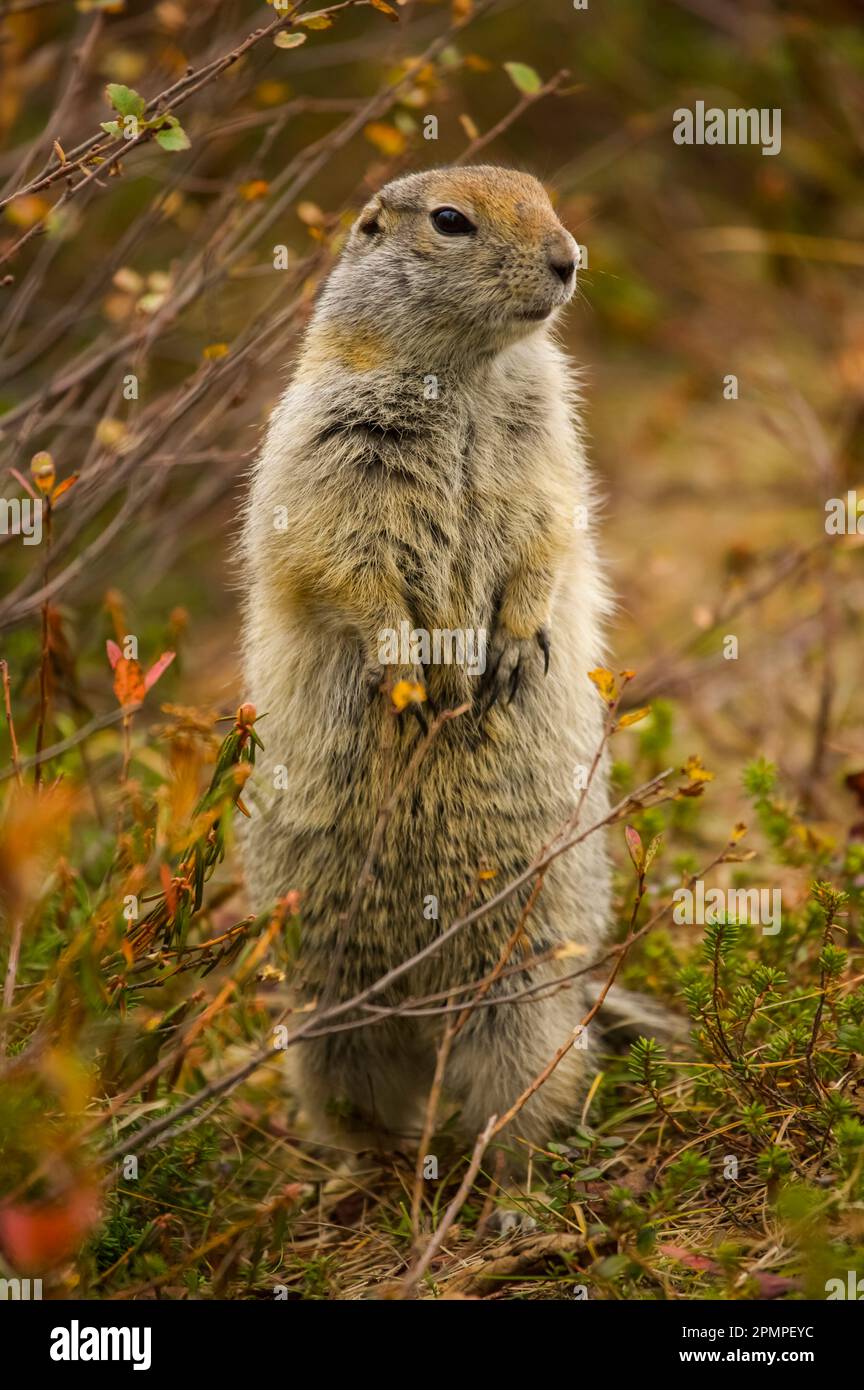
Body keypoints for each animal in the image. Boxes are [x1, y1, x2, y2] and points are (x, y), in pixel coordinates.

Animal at [239, 165, 616, 1159]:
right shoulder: (330, 443)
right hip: (327, 1022)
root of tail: (420, 1012)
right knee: (359, 1099)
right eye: (450, 221)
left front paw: (515, 646)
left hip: (523, 998)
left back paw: (506, 1176)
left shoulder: (548, 442)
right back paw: (361, 1173)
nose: (569, 258)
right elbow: (344, 558)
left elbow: (548, 528)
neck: (470, 374)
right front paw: (412, 667)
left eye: (546, 195)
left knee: (513, 1085)